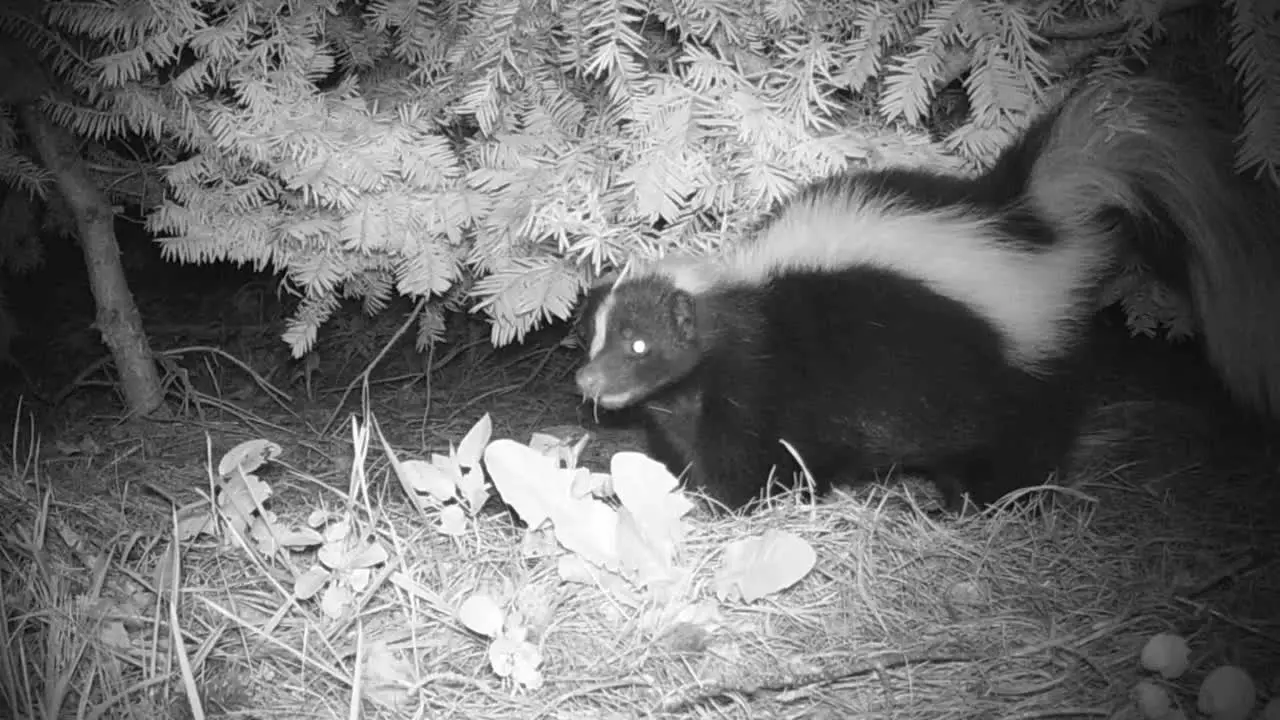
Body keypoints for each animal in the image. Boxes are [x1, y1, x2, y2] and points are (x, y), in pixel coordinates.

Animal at [576, 75, 1280, 512]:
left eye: (639, 346)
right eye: (597, 337)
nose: (588, 381)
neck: (737, 295)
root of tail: (1033, 220)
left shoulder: (763, 377)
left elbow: (756, 455)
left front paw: (729, 503)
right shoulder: (694, 399)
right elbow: (687, 445)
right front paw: (677, 487)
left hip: (1014, 367)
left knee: (1025, 445)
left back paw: (989, 507)